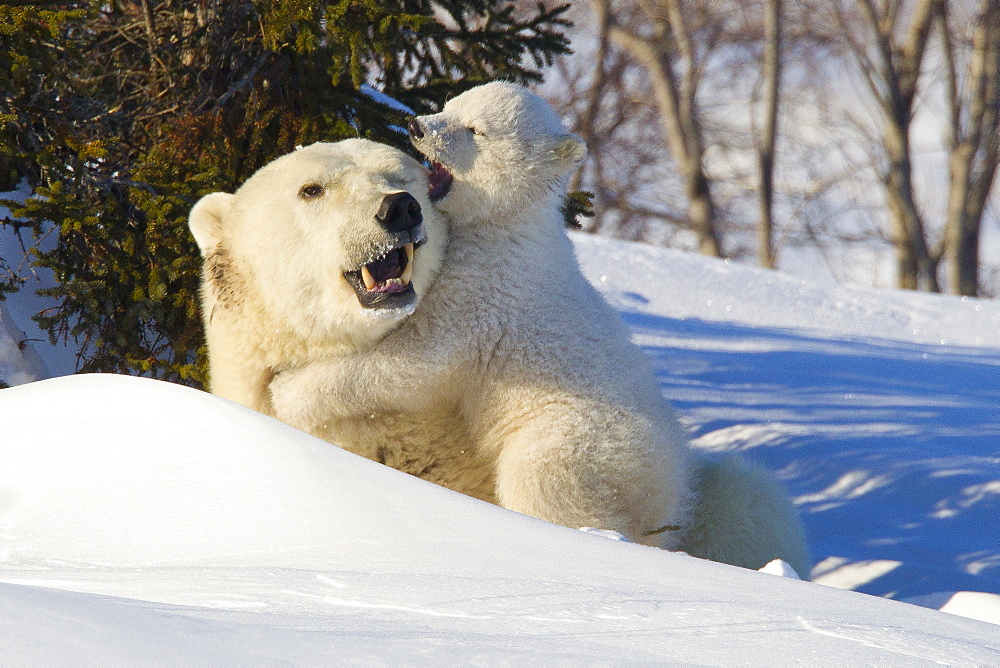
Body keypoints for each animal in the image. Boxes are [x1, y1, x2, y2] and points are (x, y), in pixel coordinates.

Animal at [270, 83, 808, 576]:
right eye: (451, 105)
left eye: (475, 130)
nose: (417, 125)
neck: (509, 225)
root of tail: (670, 495)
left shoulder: (483, 292)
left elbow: (415, 360)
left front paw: (287, 390)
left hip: (576, 437)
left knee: (545, 483)